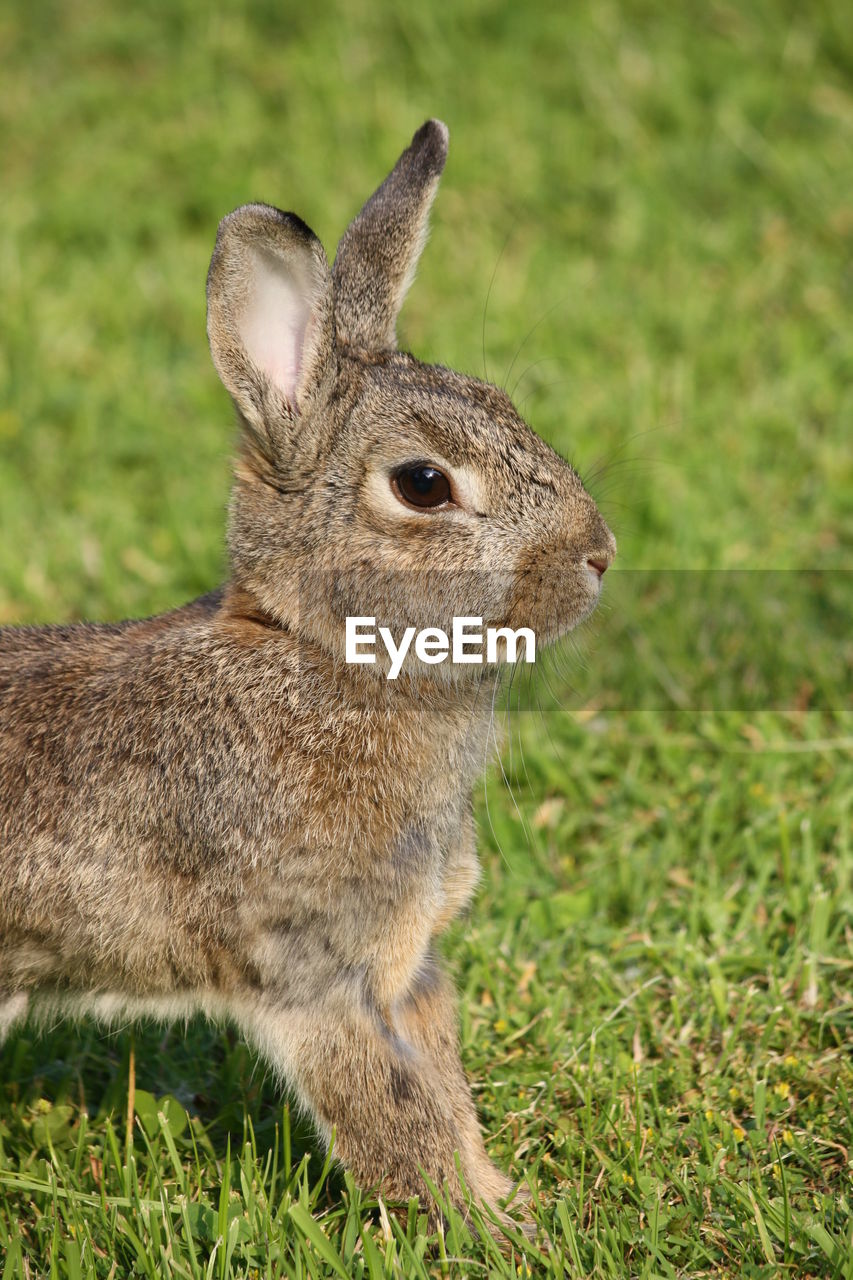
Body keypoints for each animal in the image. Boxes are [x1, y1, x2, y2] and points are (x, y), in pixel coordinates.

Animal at [0, 122, 612, 1228]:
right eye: (422, 484)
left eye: (504, 404)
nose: (599, 554)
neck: (324, 657)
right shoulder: (315, 978)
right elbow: (398, 1117)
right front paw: (483, 1233)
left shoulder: (405, 967)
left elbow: (443, 1098)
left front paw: (509, 1205)